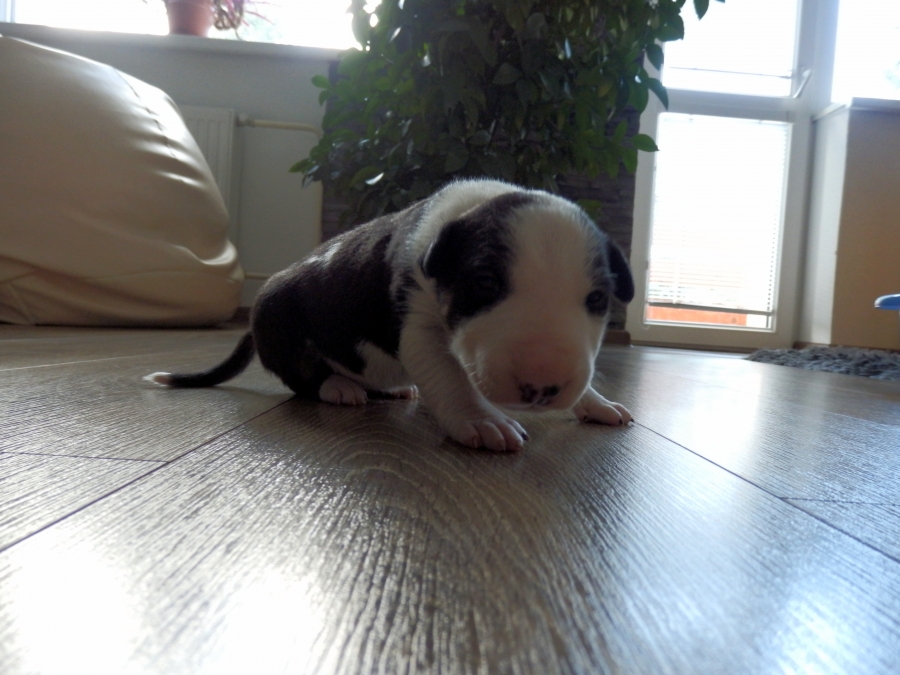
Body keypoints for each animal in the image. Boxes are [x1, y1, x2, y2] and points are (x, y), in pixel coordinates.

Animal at [146, 179, 634, 451]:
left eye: (597, 299)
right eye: (485, 284)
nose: (542, 387)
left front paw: (596, 403)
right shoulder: (418, 328)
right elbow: (451, 377)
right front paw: (484, 422)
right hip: (280, 320)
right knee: (303, 380)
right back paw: (339, 387)